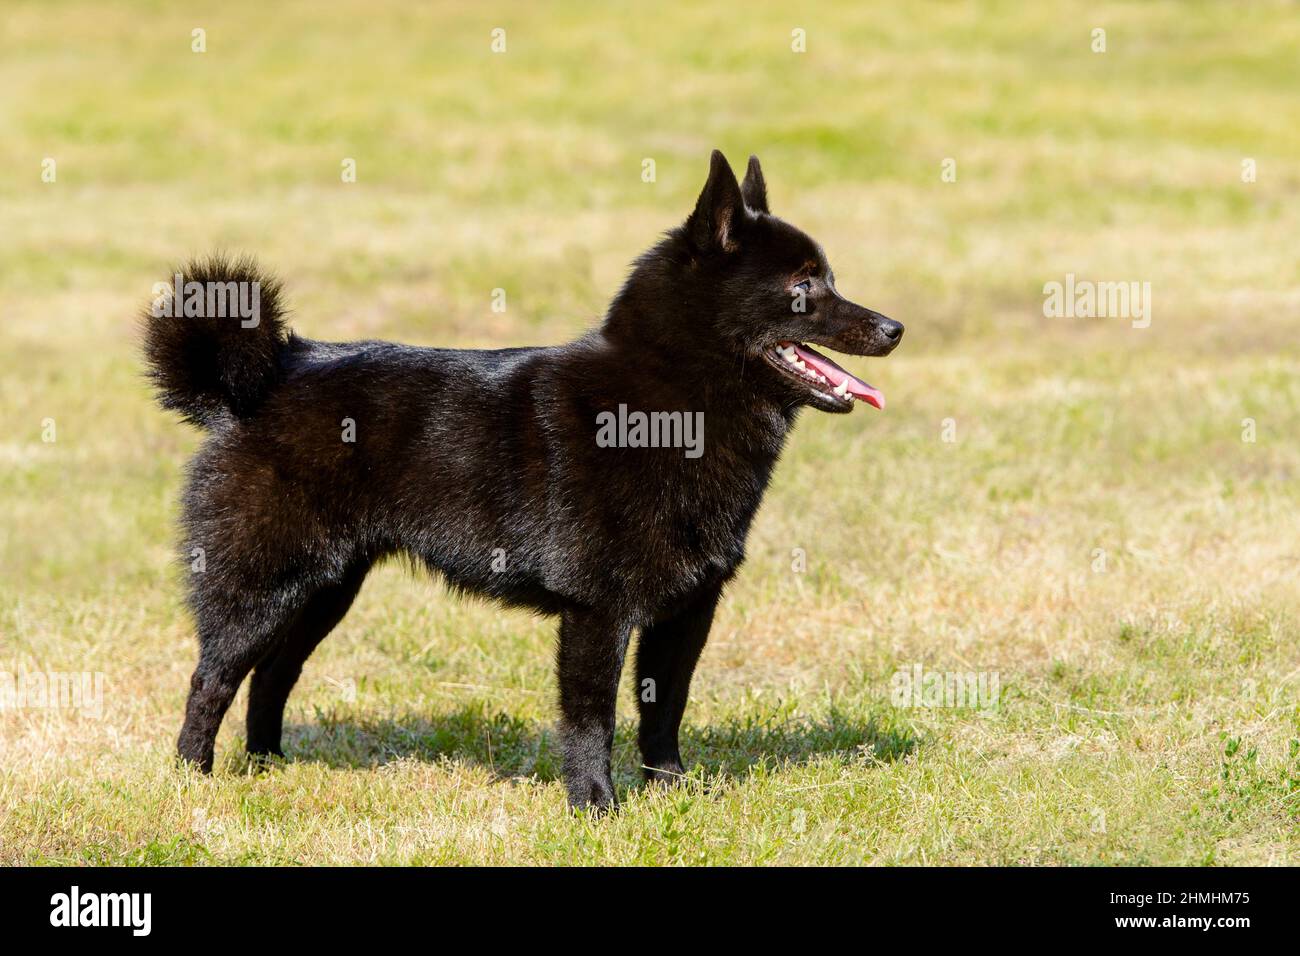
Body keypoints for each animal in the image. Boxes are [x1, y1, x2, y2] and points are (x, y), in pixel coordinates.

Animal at [142, 149, 904, 806]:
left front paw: (672, 794)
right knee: (212, 677)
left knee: (272, 674)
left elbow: (665, 709)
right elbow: (592, 719)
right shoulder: (596, 609)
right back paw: (193, 778)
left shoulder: (688, 609)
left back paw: (270, 766)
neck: (666, 404)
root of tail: (259, 379)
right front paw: (596, 808)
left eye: (829, 277)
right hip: (263, 584)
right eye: (803, 286)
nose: (894, 327)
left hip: (326, 587)